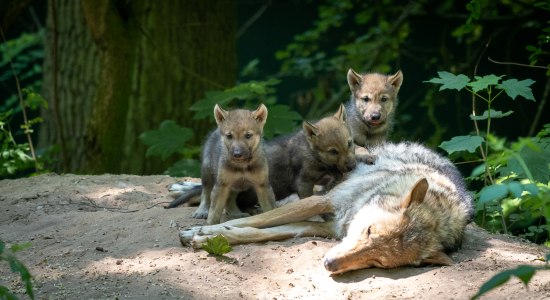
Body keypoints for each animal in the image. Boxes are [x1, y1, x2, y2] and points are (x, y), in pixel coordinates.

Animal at [181, 142, 474, 274]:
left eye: (377, 262)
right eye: (369, 231)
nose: (330, 264)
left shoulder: (324, 228)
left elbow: (258, 232)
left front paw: (212, 236)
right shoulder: (323, 201)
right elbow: (259, 221)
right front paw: (202, 230)